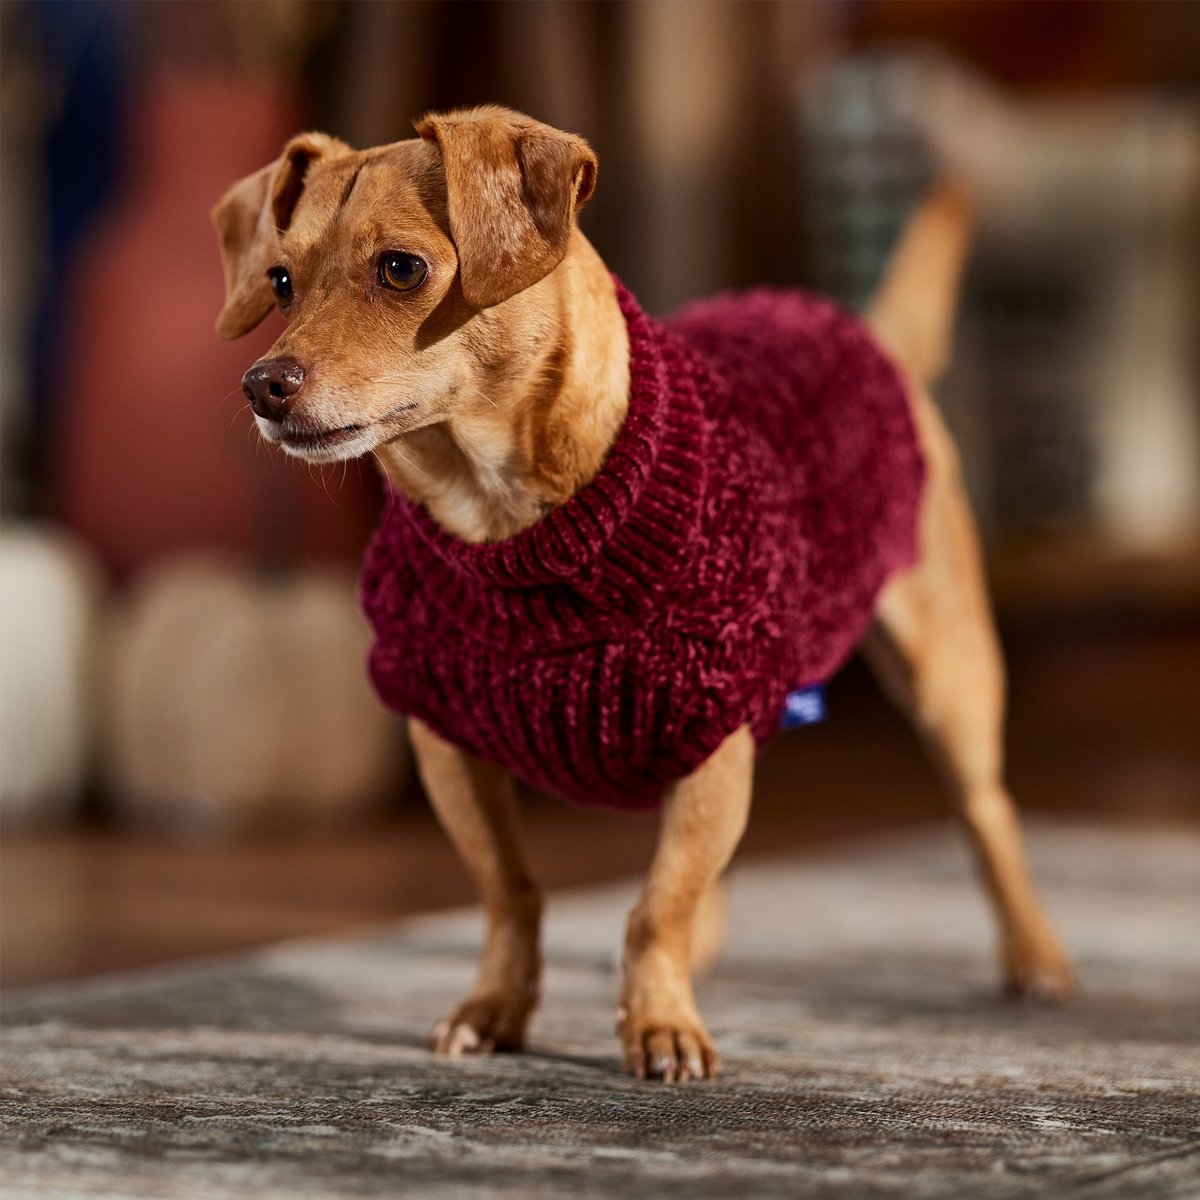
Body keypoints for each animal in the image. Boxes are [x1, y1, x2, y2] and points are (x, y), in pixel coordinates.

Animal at [211, 110, 1075, 1089]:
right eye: (279, 281)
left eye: (401, 269)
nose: (262, 386)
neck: (506, 521)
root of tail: (863, 333)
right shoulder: (450, 746)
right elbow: (512, 891)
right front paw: (495, 1009)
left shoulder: (711, 731)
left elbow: (657, 904)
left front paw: (659, 1022)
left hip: (946, 685)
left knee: (987, 814)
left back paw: (1034, 957)